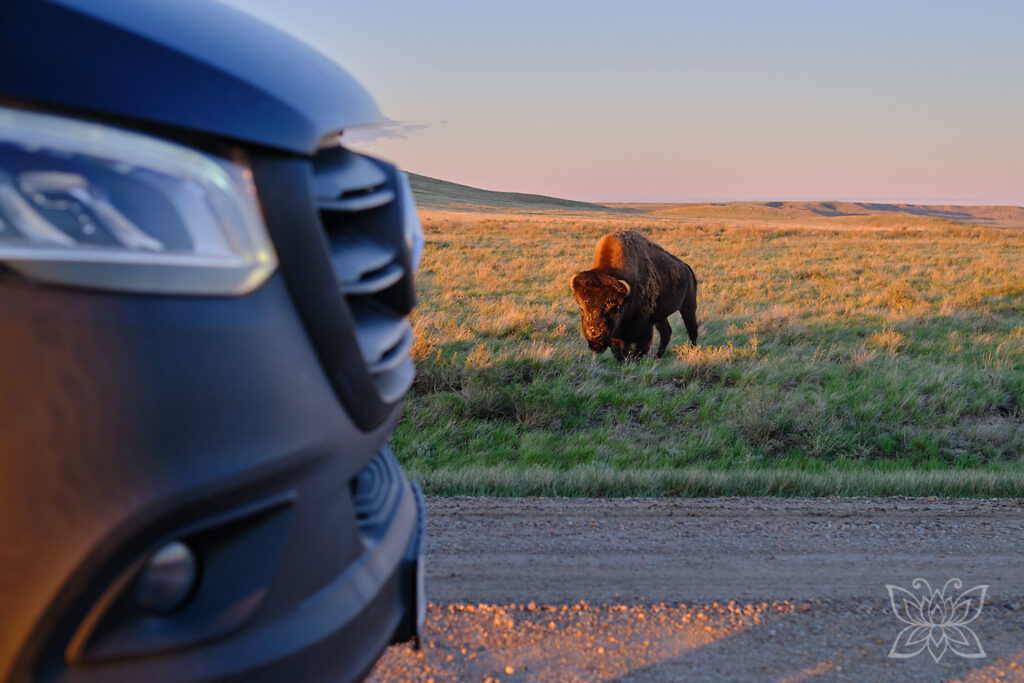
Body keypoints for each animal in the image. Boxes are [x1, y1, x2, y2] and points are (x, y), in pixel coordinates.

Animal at [570, 230, 698, 361]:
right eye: (581, 307)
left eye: (613, 307)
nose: (594, 334)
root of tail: (687, 268)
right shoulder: (617, 334)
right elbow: (619, 349)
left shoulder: (643, 326)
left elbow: (639, 347)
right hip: (661, 316)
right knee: (666, 333)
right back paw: (657, 357)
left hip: (688, 306)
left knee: (692, 329)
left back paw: (692, 352)